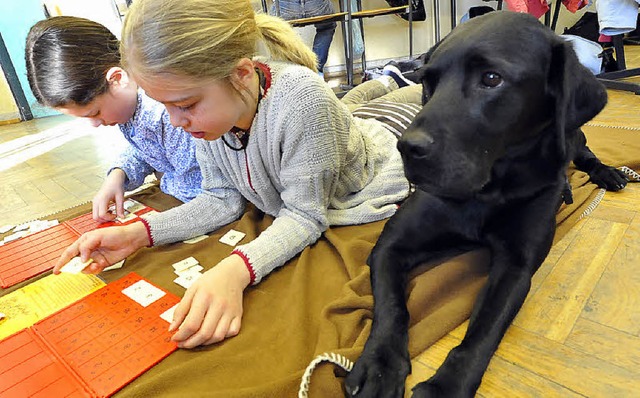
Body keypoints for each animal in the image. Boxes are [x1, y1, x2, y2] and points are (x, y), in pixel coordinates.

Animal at [342, 10, 628, 396]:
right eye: (427, 81)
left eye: (492, 78)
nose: (407, 147)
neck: (487, 190)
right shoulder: (391, 245)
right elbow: (391, 307)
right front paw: (379, 366)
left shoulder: (517, 265)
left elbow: (486, 329)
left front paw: (447, 386)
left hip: (575, 136)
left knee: (585, 154)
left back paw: (606, 173)